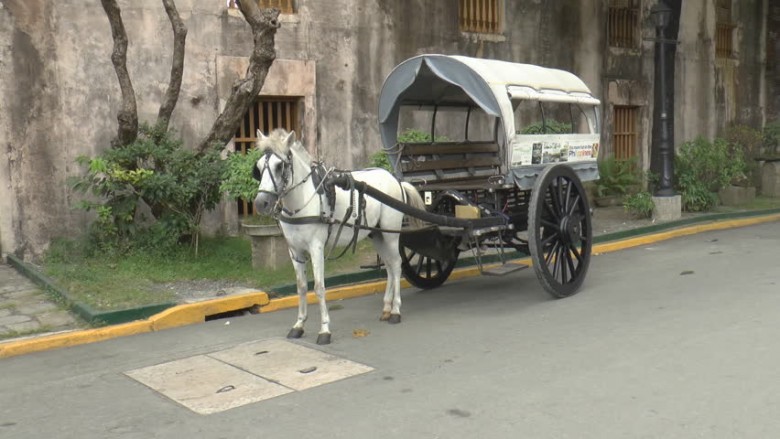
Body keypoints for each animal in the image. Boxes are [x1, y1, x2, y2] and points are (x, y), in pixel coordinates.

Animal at [254, 129, 426, 346]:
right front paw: (299, 325)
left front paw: (324, 330)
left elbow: (319, 287)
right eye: (259, 166)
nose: (261, 203)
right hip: (376, 234)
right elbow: (301, 287)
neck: (303, 200)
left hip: (390, 233)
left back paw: (395, 310)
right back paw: (386, 308)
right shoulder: (295, 251)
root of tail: (394, 179)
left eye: (280, 166)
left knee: (396, 265)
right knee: (388, 266)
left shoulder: (316, 247)